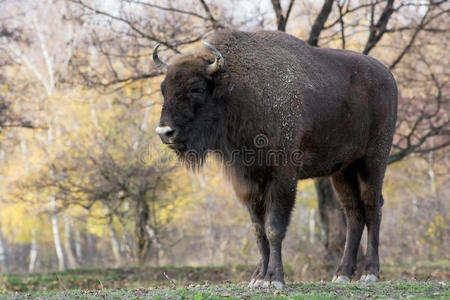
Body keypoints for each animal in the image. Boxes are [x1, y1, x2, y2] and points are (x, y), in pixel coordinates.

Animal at [153, 30, 396, 288]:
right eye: (163, 88)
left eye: (197, 88)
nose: (165, 132)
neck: (239, 92)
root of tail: (388, 76)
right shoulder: (247, 181)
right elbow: (258, 230)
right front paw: (258, 278)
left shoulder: (282, 177)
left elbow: (274, 227)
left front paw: (274, 278)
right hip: (342, 171)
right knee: (353, 211)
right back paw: (342, 274)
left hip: (373, 161)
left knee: (372, 206)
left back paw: (370, 273)